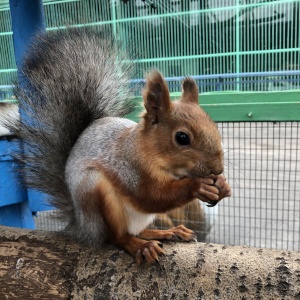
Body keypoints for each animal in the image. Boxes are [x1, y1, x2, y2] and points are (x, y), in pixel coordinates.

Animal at [8, 27, 230, 264]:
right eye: (182, 138)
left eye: (213, 125)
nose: (218, 169)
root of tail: (84, 226)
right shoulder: (130, 169)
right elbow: (152, 196)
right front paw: (197, 186)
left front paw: (222, 185)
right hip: (97, 194)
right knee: (118, 237)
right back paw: (141, 246)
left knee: (139, 231)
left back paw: (169, 232)